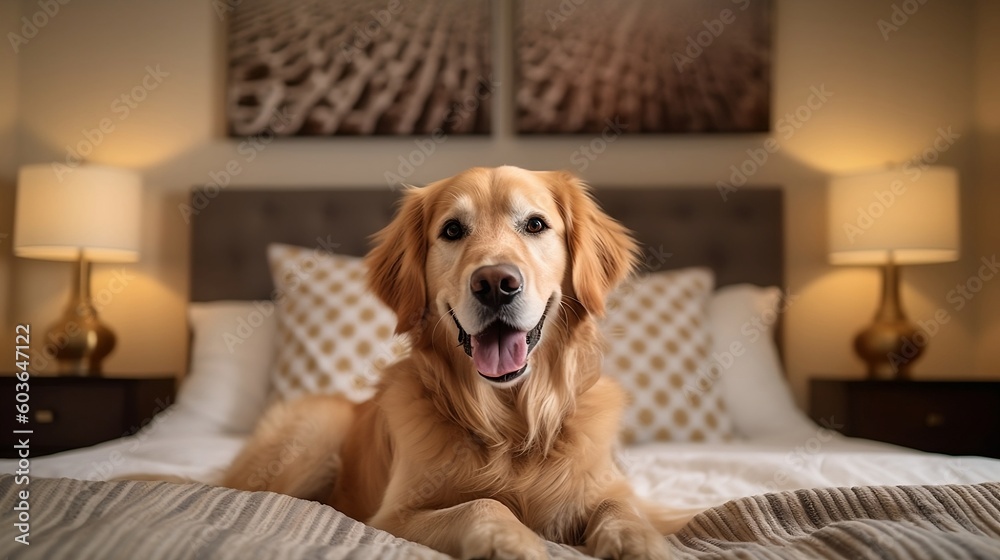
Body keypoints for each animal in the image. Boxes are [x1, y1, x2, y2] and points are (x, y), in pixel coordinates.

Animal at [226, 167, 676, 560]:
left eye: (535, 225)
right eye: (453, 230)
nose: (495, 283)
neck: (510, 429)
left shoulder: (609, 488)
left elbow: (622, 507)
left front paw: (638, 541)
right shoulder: (394, 517)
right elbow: (482, 505)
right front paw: (511, 542)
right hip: (314, 435)